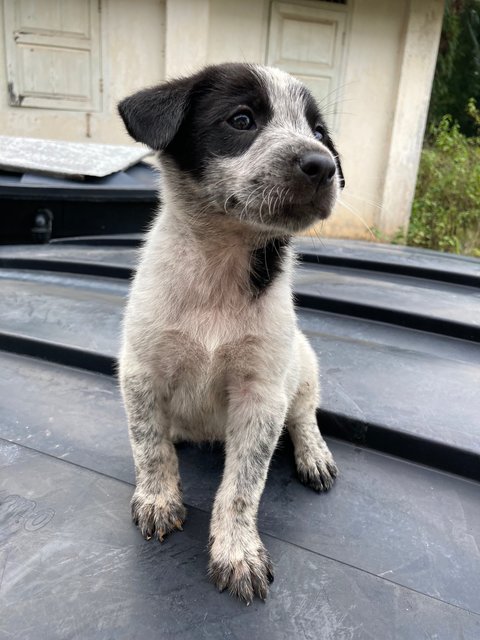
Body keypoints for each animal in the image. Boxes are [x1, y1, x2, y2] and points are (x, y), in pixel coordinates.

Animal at [119, 65, 344, 604]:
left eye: (319, 132)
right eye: (241, 120)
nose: (323, 165)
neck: (219, 268)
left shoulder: (261, 395)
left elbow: (243, 485)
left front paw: (236, 552)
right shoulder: (139, 370)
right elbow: (149, 447)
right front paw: (158, 499)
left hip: (302, 362)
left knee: (304, 414)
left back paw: (314, 454)